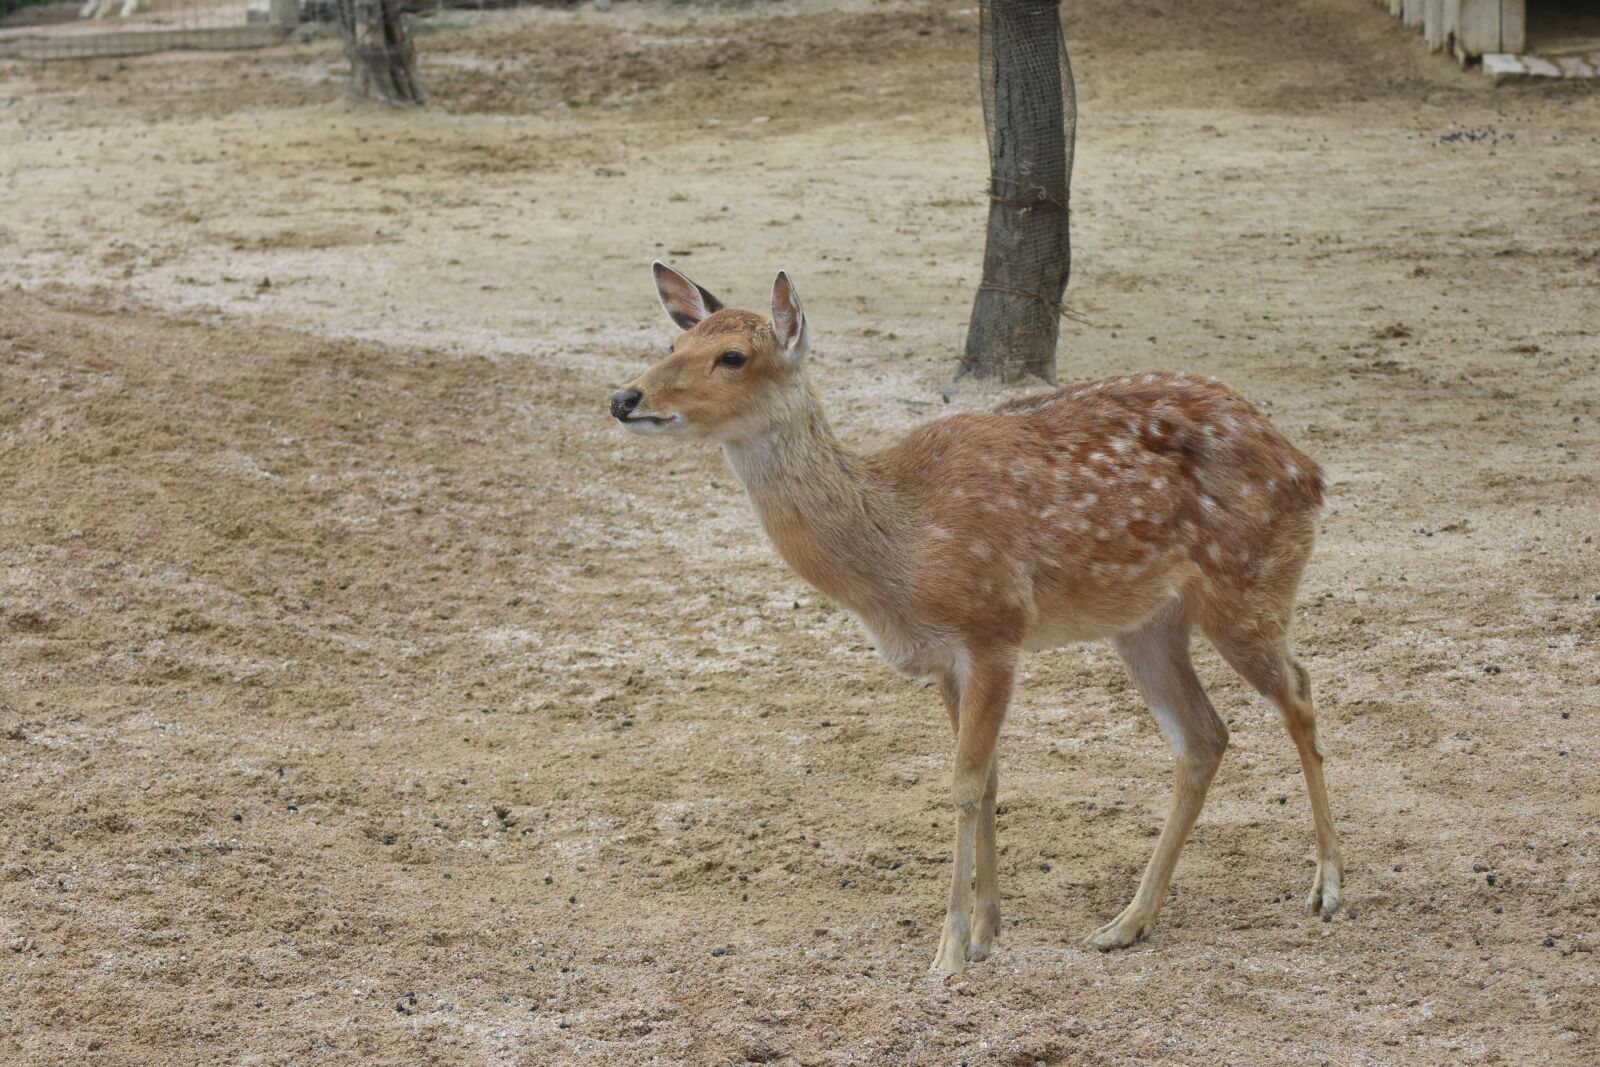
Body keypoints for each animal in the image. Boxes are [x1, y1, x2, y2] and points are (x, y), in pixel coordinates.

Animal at [608, 263, 1344, 974]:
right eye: (673, 344)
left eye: (732, 356)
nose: (625, 397)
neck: (899, 551)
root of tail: (1308, 470)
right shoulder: (943, 657)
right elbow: (988, 778)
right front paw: (990, 931)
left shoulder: (994, 627)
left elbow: (964, 783)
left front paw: (949, 950)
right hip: (1146, 623)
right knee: (1205, 736)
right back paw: (1127, 922)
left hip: (1247, 585)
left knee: (1300, 694)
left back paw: (1328, 885)